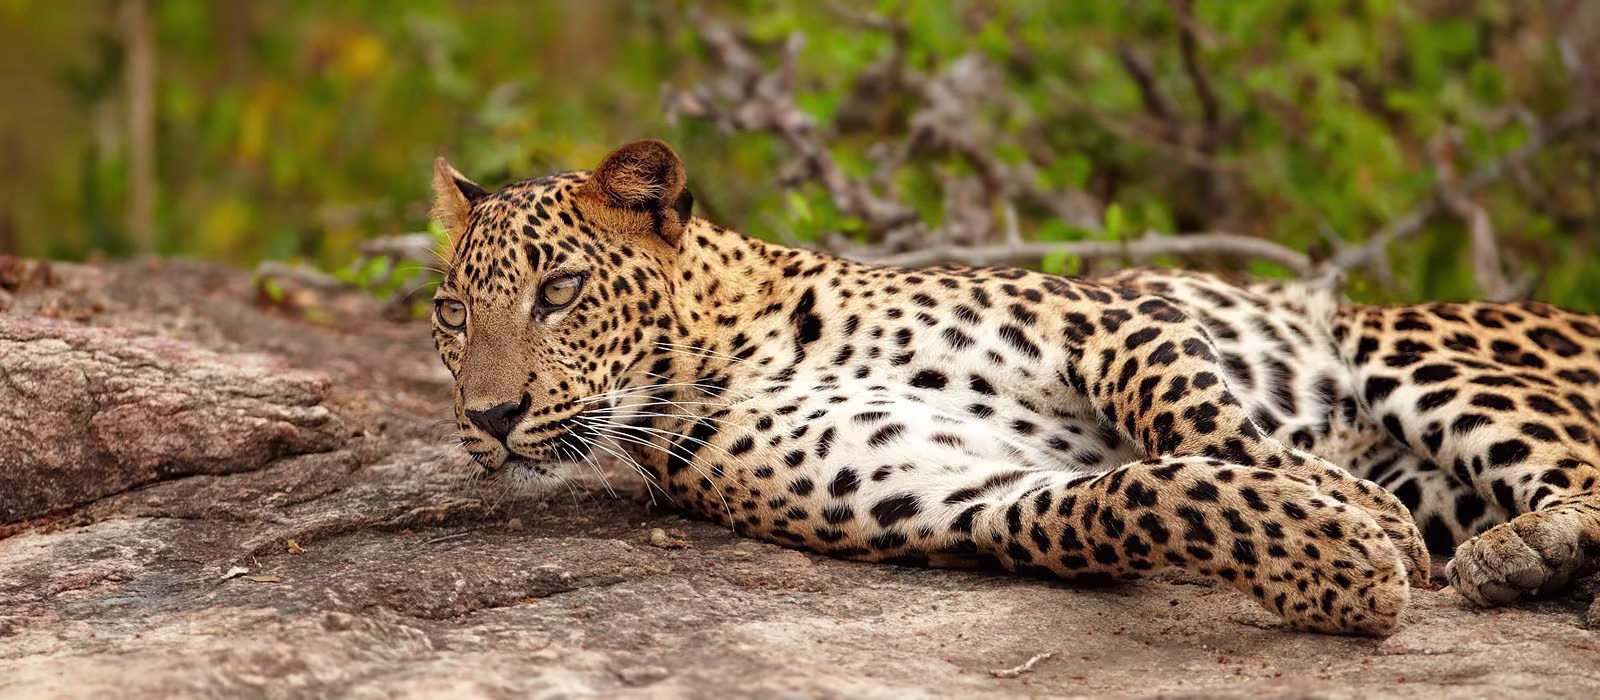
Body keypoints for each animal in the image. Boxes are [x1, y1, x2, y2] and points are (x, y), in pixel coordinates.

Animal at [427, 139, 1600, 635]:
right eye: (451, 314)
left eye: (561, 289)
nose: (490, 419)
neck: (732, 345)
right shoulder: (960, 499)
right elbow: (1139, 493)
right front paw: (1332, 563)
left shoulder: (1106, 321)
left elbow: (1206, 418)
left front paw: (1360, 515)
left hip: (1397, 344)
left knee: (1571, 460)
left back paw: (1512, 547)